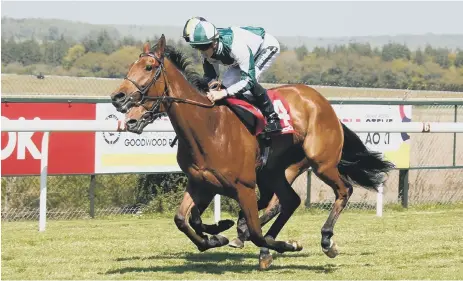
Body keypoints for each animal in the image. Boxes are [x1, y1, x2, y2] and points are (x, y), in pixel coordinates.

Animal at [109, 36, 396, 268]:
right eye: (130, 67)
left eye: (149, 68)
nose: (118, 98)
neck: (209, 126)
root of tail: (322, 102)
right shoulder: (200, 182)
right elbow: (183, 218)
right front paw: (215, 236)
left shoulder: (244, 186)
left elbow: (254, 231)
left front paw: (285, 244)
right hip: (275, 172)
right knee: (289, 201)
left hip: (321, 163)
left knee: (342, 190)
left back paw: (326, 240)